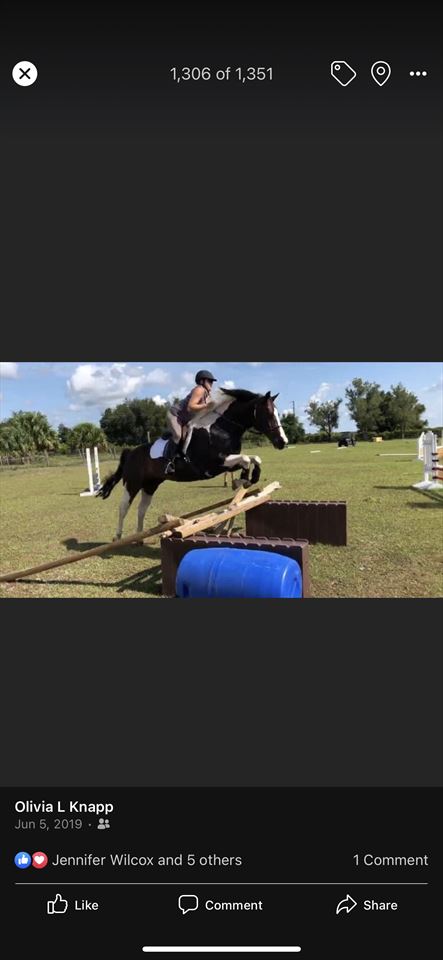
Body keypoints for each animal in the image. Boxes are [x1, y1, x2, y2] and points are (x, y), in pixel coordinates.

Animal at [98, 388, 288, 540]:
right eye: (268, 412)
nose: (283, 442)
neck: (222, 429)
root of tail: (131, 452)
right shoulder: (215, 464)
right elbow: (247, 459)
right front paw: (244, 479)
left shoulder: (228, 461)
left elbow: (254, 458)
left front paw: (247, 479)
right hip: (133, 483)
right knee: (124, 507)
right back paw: (118, 536)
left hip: (151, 484)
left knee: (141, 508)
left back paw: (139, 536)